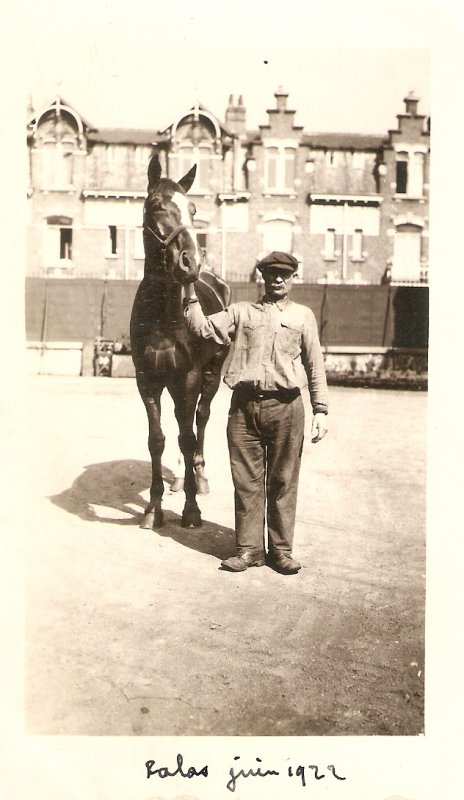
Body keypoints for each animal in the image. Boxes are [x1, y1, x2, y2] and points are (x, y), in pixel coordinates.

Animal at [130, 156, 231, 532]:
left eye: (193, 209)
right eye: (158, 205)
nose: (190, 262)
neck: (164, 315)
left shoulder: (188, 378)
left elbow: (187, 438)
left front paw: (190, 510)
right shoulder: (148, 380)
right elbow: (157, 439)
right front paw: (153, 508)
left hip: (211, 376)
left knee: (199, 420)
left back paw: (199, 478)